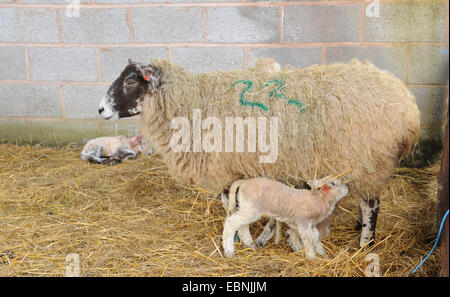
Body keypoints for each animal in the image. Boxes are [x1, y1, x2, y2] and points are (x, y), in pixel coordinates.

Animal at [99, 57, 422, 245]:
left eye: (131, 81)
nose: (100, 109)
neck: (191, 103)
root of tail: (407, 105)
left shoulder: (226, 168)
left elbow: (230, 204)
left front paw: (243, 237)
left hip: (370, 157)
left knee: (372, 204)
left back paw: (366, 243)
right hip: (358, 161)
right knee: (362, 198)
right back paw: (357, 227)